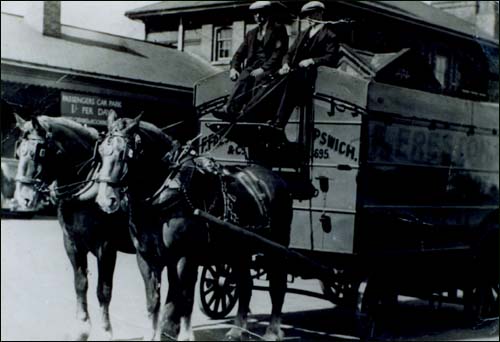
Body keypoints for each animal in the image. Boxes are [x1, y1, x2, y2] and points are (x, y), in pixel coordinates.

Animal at [12, 115, 154, 340]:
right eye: (19, 151)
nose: (22, 198)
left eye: (39, 152)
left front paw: (105, 331)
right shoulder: (72, 243)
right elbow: (80, 284)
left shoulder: (106, 247)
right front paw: (82, 327)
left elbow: (103, 290)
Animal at [94, 113, 292, 340]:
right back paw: (237, 330)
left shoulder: (185, 257)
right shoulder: (146, 257)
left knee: (278, 286)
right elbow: (153, 301)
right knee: (245, 284)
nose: (105, 200)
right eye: (101, 152)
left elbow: (185, 298)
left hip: (276, 249)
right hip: (238, 250)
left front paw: (185, 335)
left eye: (125, 154)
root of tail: (276, 177)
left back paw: (272, 330)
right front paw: (153, 334)